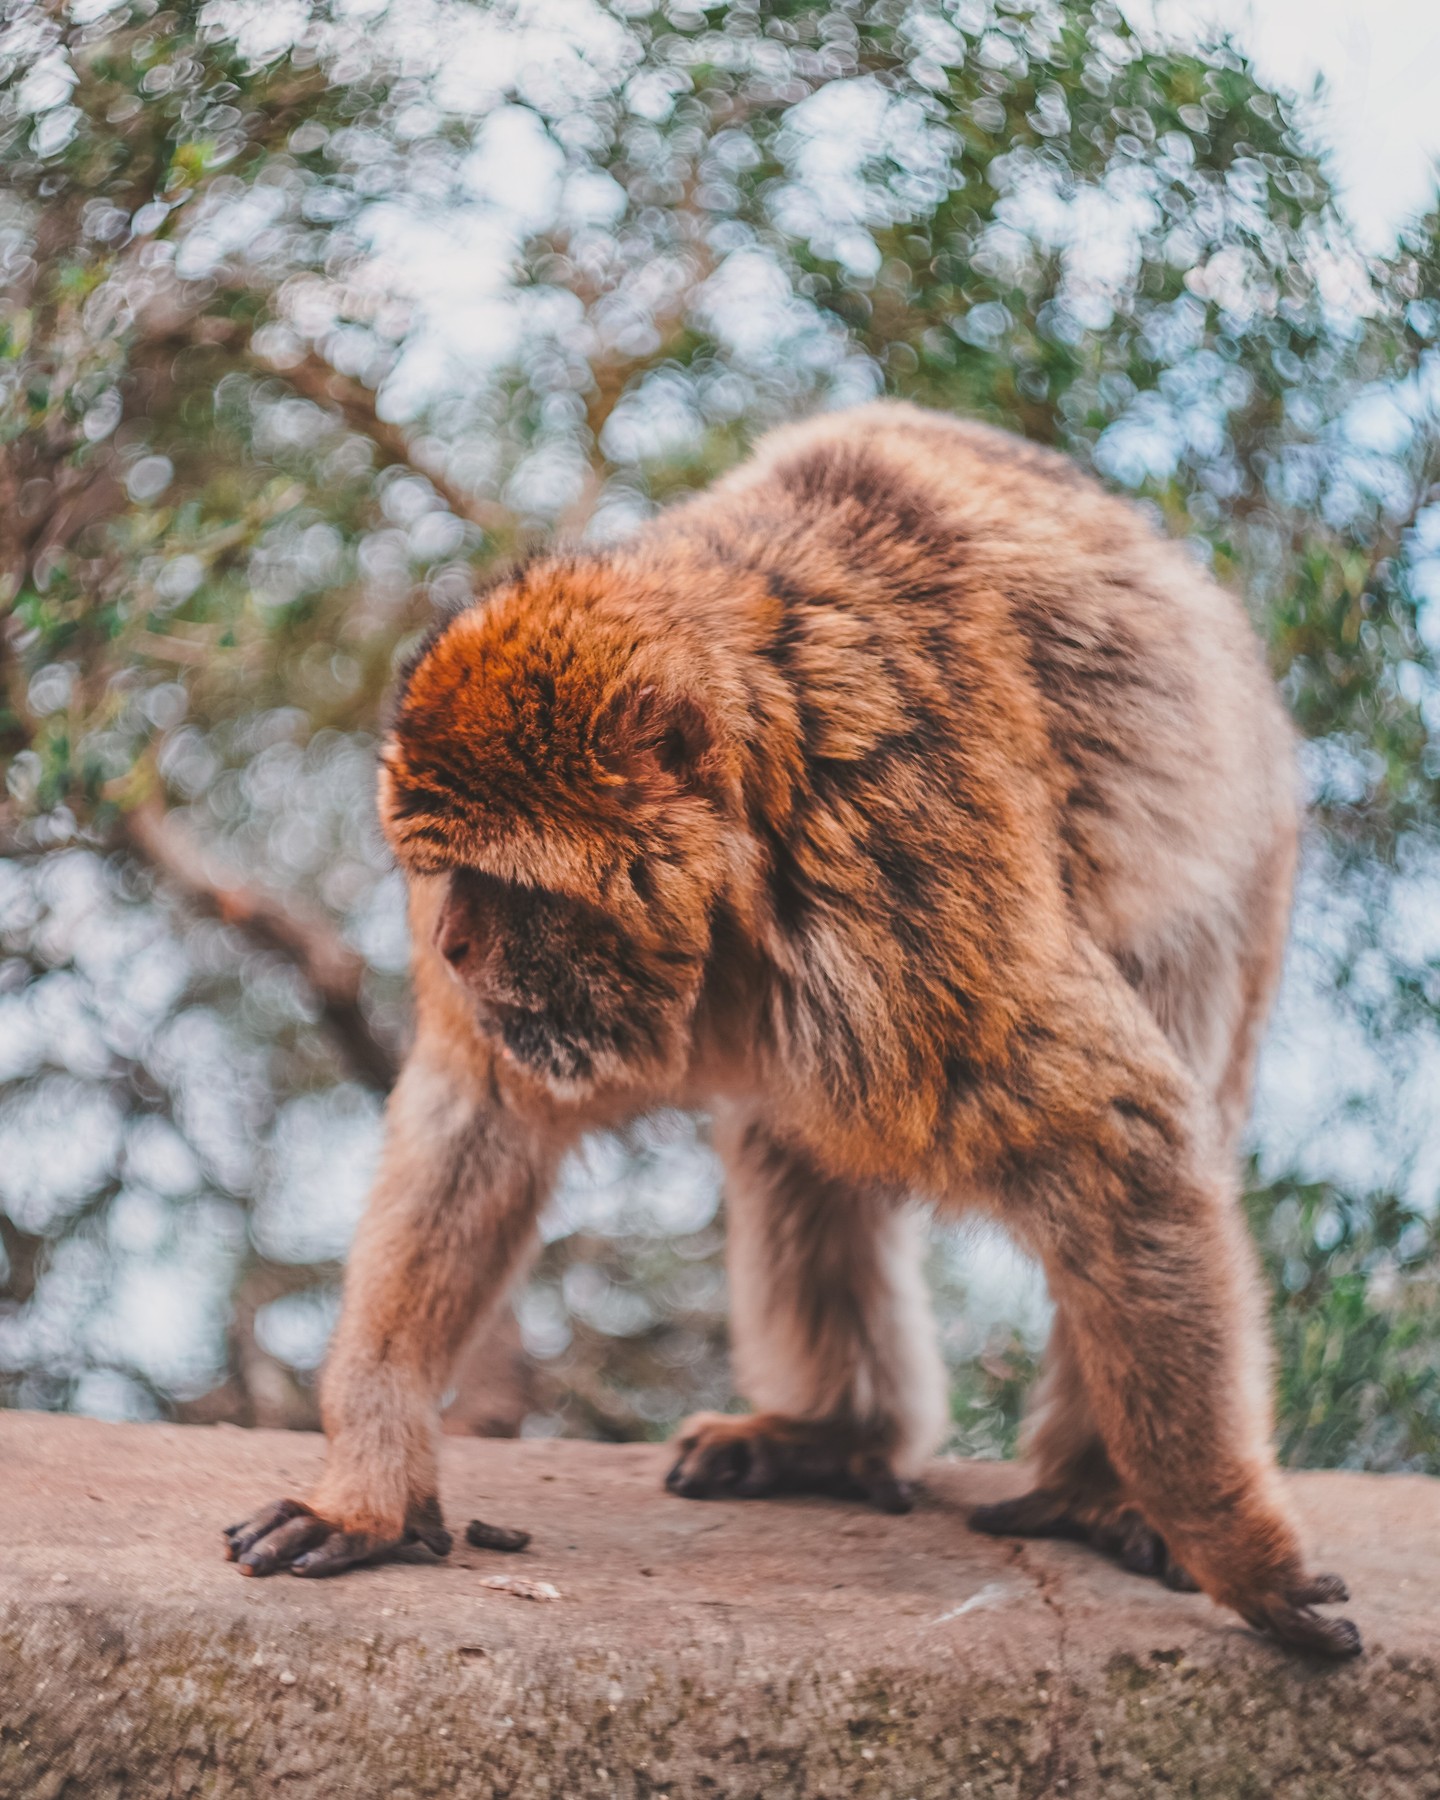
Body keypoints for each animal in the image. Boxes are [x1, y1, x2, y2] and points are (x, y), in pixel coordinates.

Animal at [223, 400, 1359, 1658]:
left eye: (502, 884)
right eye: (442, 876)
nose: (453, 946)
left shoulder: (907, 873)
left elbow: (1121, 1137)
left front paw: (1230, 1543)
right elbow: (480, 1113)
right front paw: (367, 1486)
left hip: (1241, 878)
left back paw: (1096, 1487)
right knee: (793, 1135)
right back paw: (836, 1433)